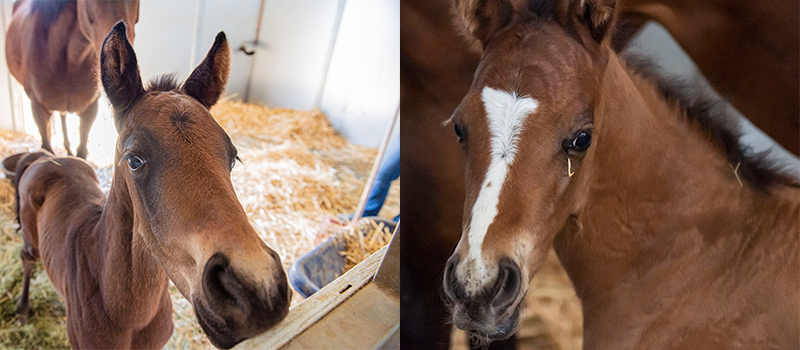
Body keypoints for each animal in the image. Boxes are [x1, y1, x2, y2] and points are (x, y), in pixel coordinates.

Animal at [14, 23, 290, 348]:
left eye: (233, 157)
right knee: (26, 258)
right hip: (31, 242)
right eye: (134, 160)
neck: (130, 315)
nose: (258, 290)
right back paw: (22, 310)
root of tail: (47, 158)